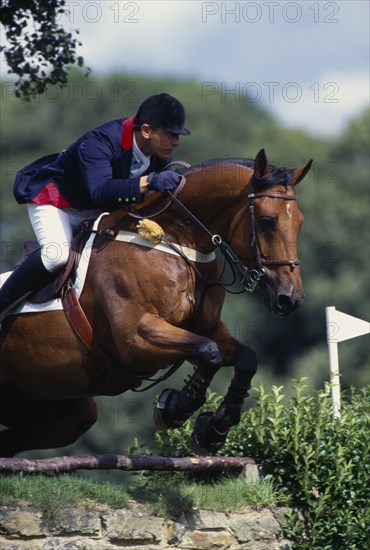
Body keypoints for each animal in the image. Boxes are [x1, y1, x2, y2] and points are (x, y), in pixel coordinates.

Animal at [0, 149, 312, 460]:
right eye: (268, 221)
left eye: (300, 222)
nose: (289, 298)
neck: (176, 241)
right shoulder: (135, 341)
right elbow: (208, 352)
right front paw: (176, 409)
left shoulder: (206, 327)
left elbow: (245, 358)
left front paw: (213, 429)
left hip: (63, 410)